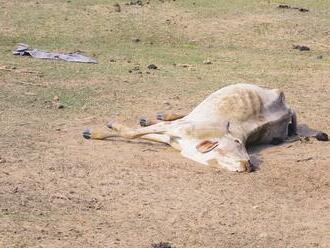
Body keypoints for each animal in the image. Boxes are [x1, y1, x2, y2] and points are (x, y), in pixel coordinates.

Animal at [83, 83, 328, 172]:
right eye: (237, 142)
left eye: (244, 144)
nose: (248, 164)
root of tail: (285, 104)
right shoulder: (175, 130)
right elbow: (133, 132)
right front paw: (100, 130)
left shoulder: (173, 134)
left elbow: (136, 133)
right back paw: (156, 115)